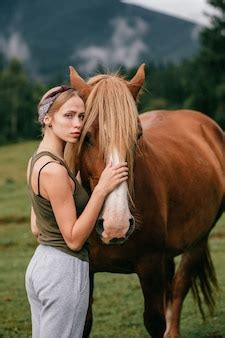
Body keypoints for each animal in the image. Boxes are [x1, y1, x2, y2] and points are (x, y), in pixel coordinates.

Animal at [66, 64, 224, 336]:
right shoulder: (86, 269)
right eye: (86, 136)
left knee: (179, 287)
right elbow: (83, 323)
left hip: (198, 241)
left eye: (137, 136)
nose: (116, 225)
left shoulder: (149, 265)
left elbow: (154, 321)